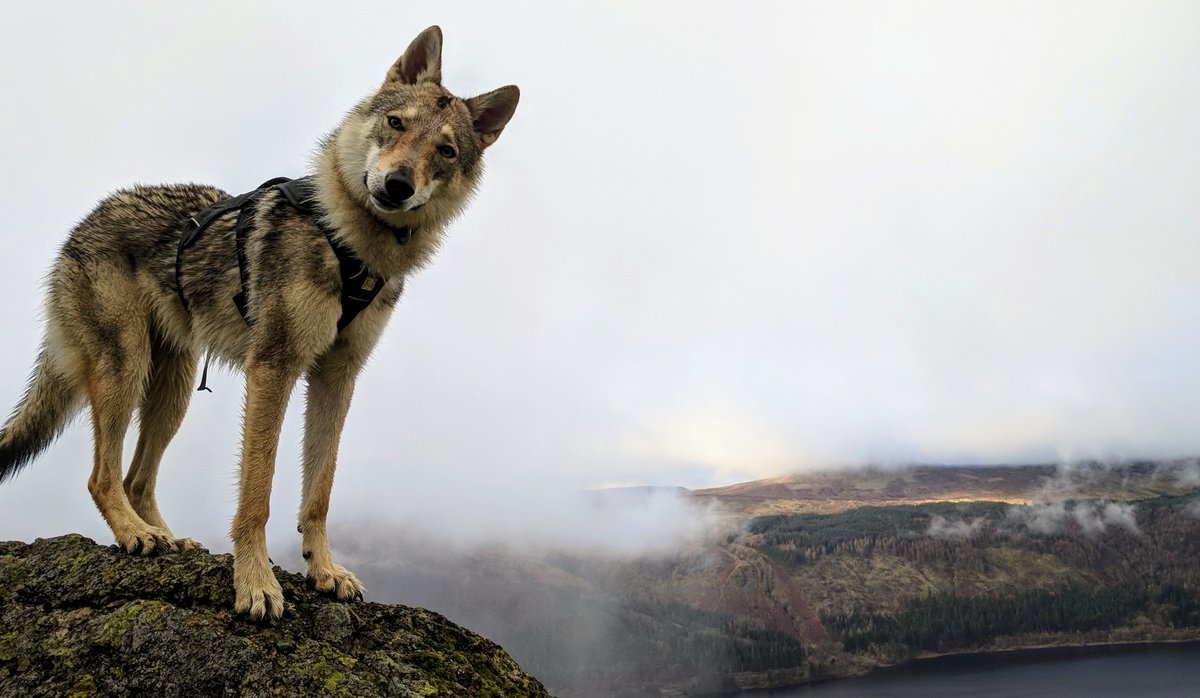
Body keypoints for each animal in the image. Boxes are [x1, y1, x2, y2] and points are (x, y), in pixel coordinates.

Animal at [0, 26, 518, 621]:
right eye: (396, 123)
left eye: (446, 151)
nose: (396, 185)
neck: (353, 247)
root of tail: (86, 221)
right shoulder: (273, 367)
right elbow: (258, 493)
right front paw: (255, 585)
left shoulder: (336, 379)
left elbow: (319, 492)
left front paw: (324, 570)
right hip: (125, 371)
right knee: (102, 478)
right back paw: (137, 536)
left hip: (172, 393)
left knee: (136, 480)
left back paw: (169, 538)